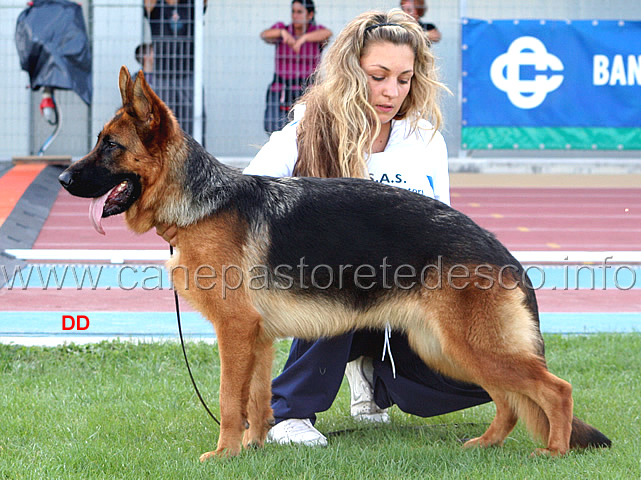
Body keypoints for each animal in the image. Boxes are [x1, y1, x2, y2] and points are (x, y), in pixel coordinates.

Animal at [60, 66, 608, 458]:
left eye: (110, 145)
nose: (62, 179)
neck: (200, 203)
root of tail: (503, 252)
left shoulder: (234, 332)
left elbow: (229, 400)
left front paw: (224, 454)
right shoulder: (257, 339)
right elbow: (257, 400)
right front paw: (255, 449)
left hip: (468, 346)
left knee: (555, 389)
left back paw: (554, 453)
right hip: (450, 349)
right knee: (510, 399)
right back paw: (489, 444)